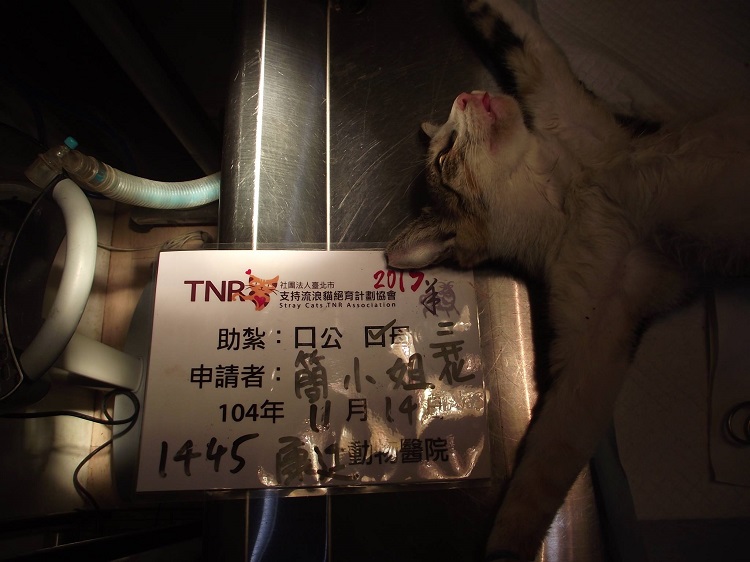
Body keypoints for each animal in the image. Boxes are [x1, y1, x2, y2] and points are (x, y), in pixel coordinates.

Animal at [384, 0, 750, 560]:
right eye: (445, 153)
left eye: (450, 127)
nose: (467, 95)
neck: (573, 186)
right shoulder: (596, 331)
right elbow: (545, 464)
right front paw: (505, 549)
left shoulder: (570, 105)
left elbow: (518, 34)